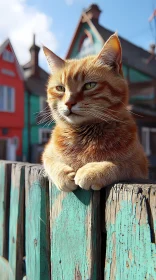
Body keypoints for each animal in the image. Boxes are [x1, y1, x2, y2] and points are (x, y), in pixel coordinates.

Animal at [42, 31, 148, 191]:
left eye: (89, 85)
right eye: (60, 88)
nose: (69, 103)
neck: (85, 136)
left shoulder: (139, 166)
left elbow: (119, 165)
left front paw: (93, 170)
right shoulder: (47, 153)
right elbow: (51, 162)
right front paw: (63, 175)